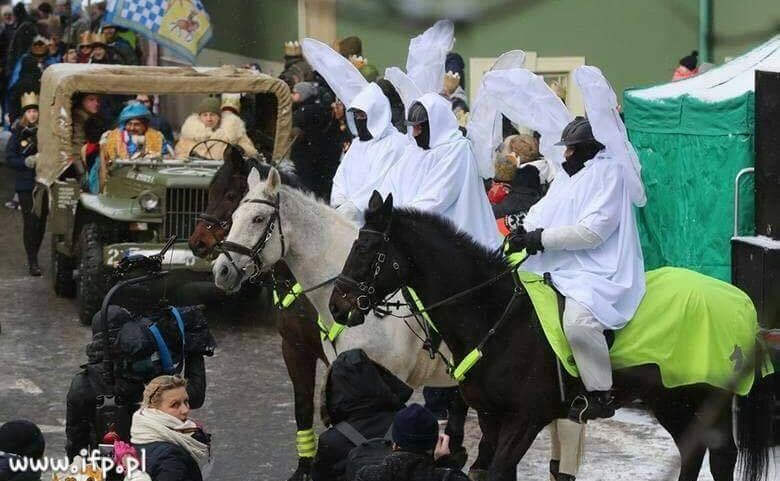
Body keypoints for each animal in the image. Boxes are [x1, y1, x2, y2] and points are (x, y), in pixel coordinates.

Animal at [330, 191, 772, 480]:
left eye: (366, 250)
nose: (338, 305)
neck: (496, 317)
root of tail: (739, 301)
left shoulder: (526, 418)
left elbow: (498, 471)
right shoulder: (491, 416)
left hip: (708, 394)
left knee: (721, 454)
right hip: (669, 398)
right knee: (692, 448)